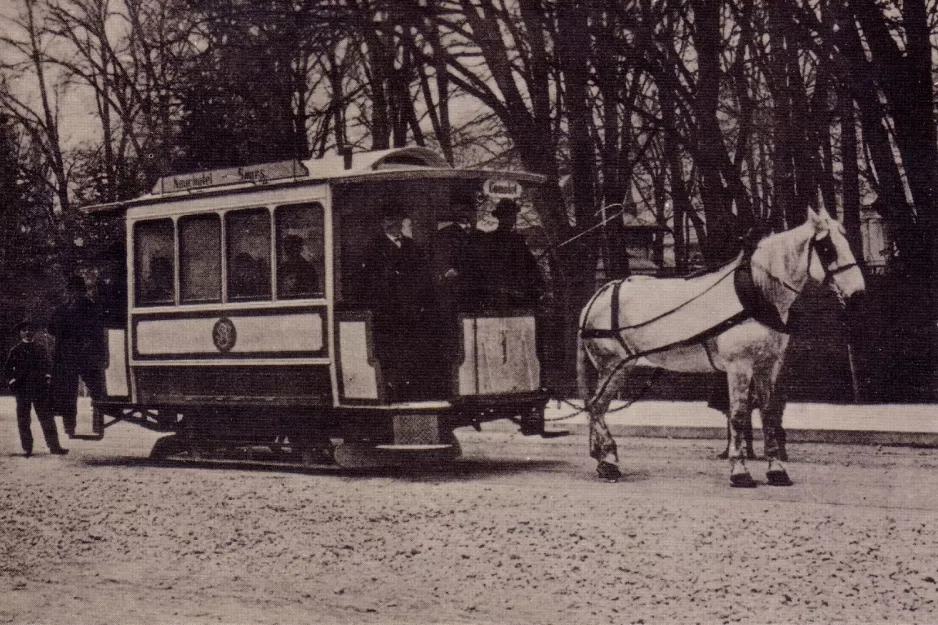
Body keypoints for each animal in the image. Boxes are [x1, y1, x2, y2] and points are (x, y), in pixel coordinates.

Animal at [576, 210, 868, 488]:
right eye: (828, 248)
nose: (858, 294)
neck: (758, 295)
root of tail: (600, 293)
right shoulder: (739, 366)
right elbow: (737, 416)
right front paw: (739, 472)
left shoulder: (768, 366)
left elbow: (769, 414)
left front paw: (776, 470)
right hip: (614, 367)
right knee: (597, 407)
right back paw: (609, 461)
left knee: (595, 408)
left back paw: (601, 458)